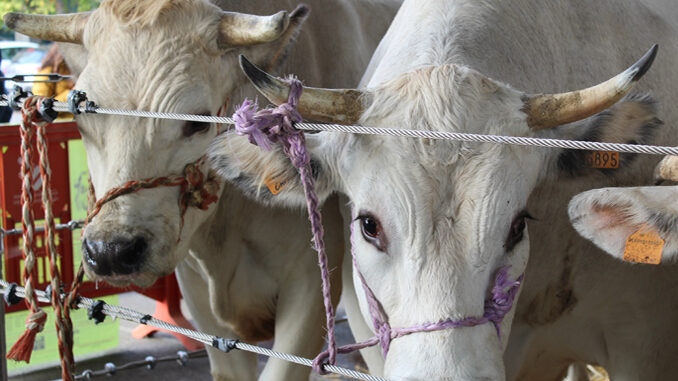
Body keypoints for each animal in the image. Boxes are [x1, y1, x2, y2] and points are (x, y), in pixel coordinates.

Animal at [2, 0, 402, 380]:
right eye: (82, 116)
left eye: (197, 121)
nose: (111, 251)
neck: (229, 227)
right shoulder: (197, 291)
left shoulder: (311, 285)